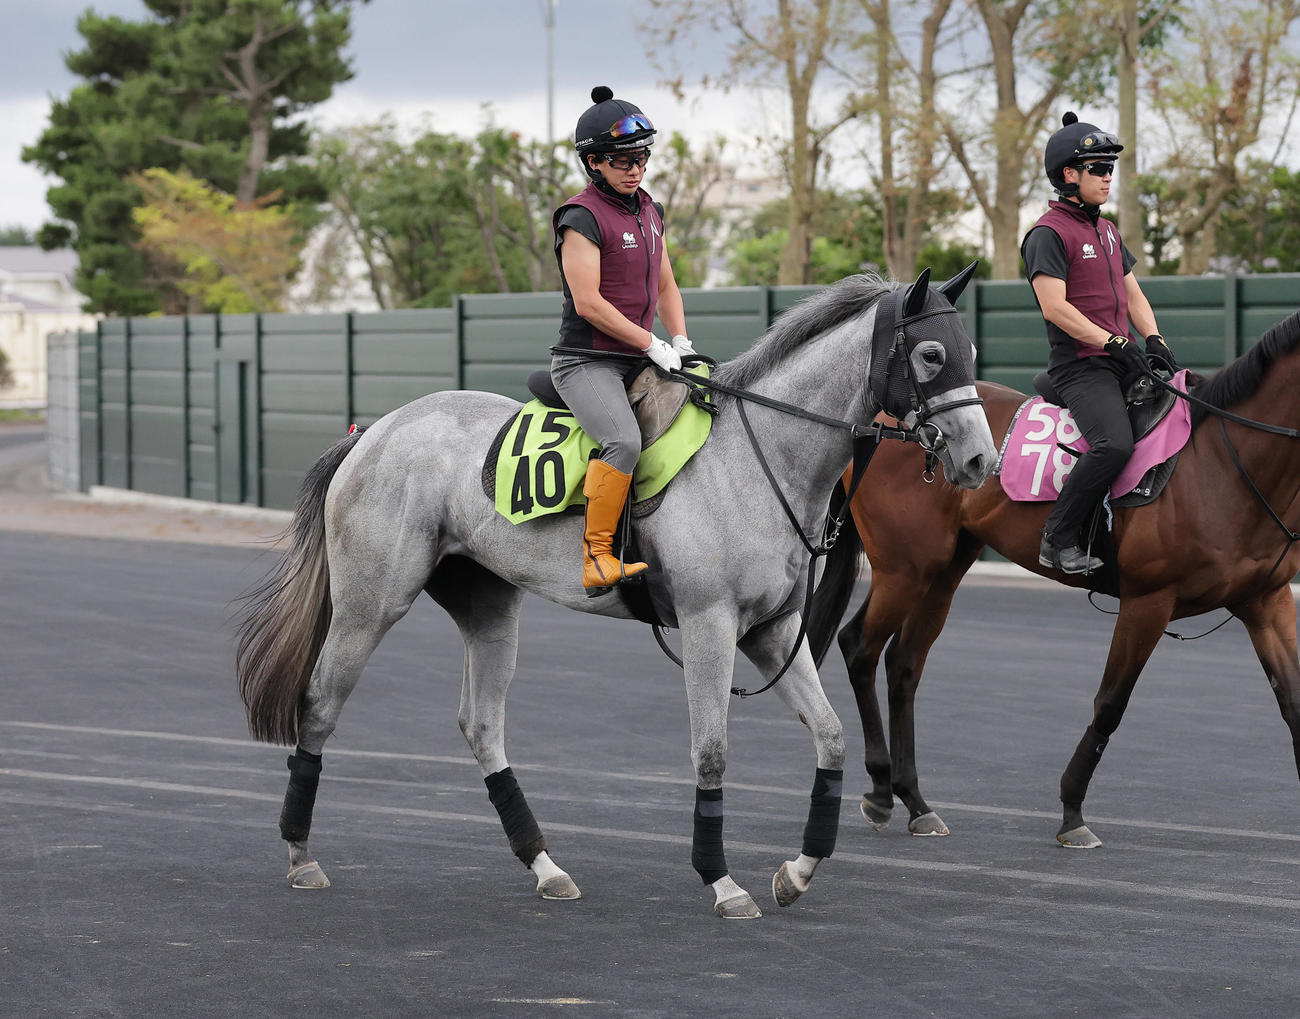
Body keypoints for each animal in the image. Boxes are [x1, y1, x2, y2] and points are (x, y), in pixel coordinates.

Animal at [233, 267, 998, 919]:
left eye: (969, 349)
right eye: (932, 355)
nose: (981, 460)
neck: (756, 457)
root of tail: (375, 432)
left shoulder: (772, 633)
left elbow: (832, 738)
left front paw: (798, 870)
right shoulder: (710, 626)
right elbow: (711, 750)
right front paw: (721, 880)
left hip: (489, 607)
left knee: (481, 725)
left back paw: (544, 865)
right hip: (370, 606)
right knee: (320, 703)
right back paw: (300, 853)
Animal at [806, 310, 1300, 849]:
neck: (1221, 466)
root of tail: (882, 420)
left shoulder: (1267, 600)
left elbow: (1294, 703)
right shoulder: (1148, 601)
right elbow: (1110, 703)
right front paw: (1072, 811)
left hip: (943, 569)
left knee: (904, 663)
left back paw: (915, 800)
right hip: (904, 567)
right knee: (860, 647)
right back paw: (880, 789)